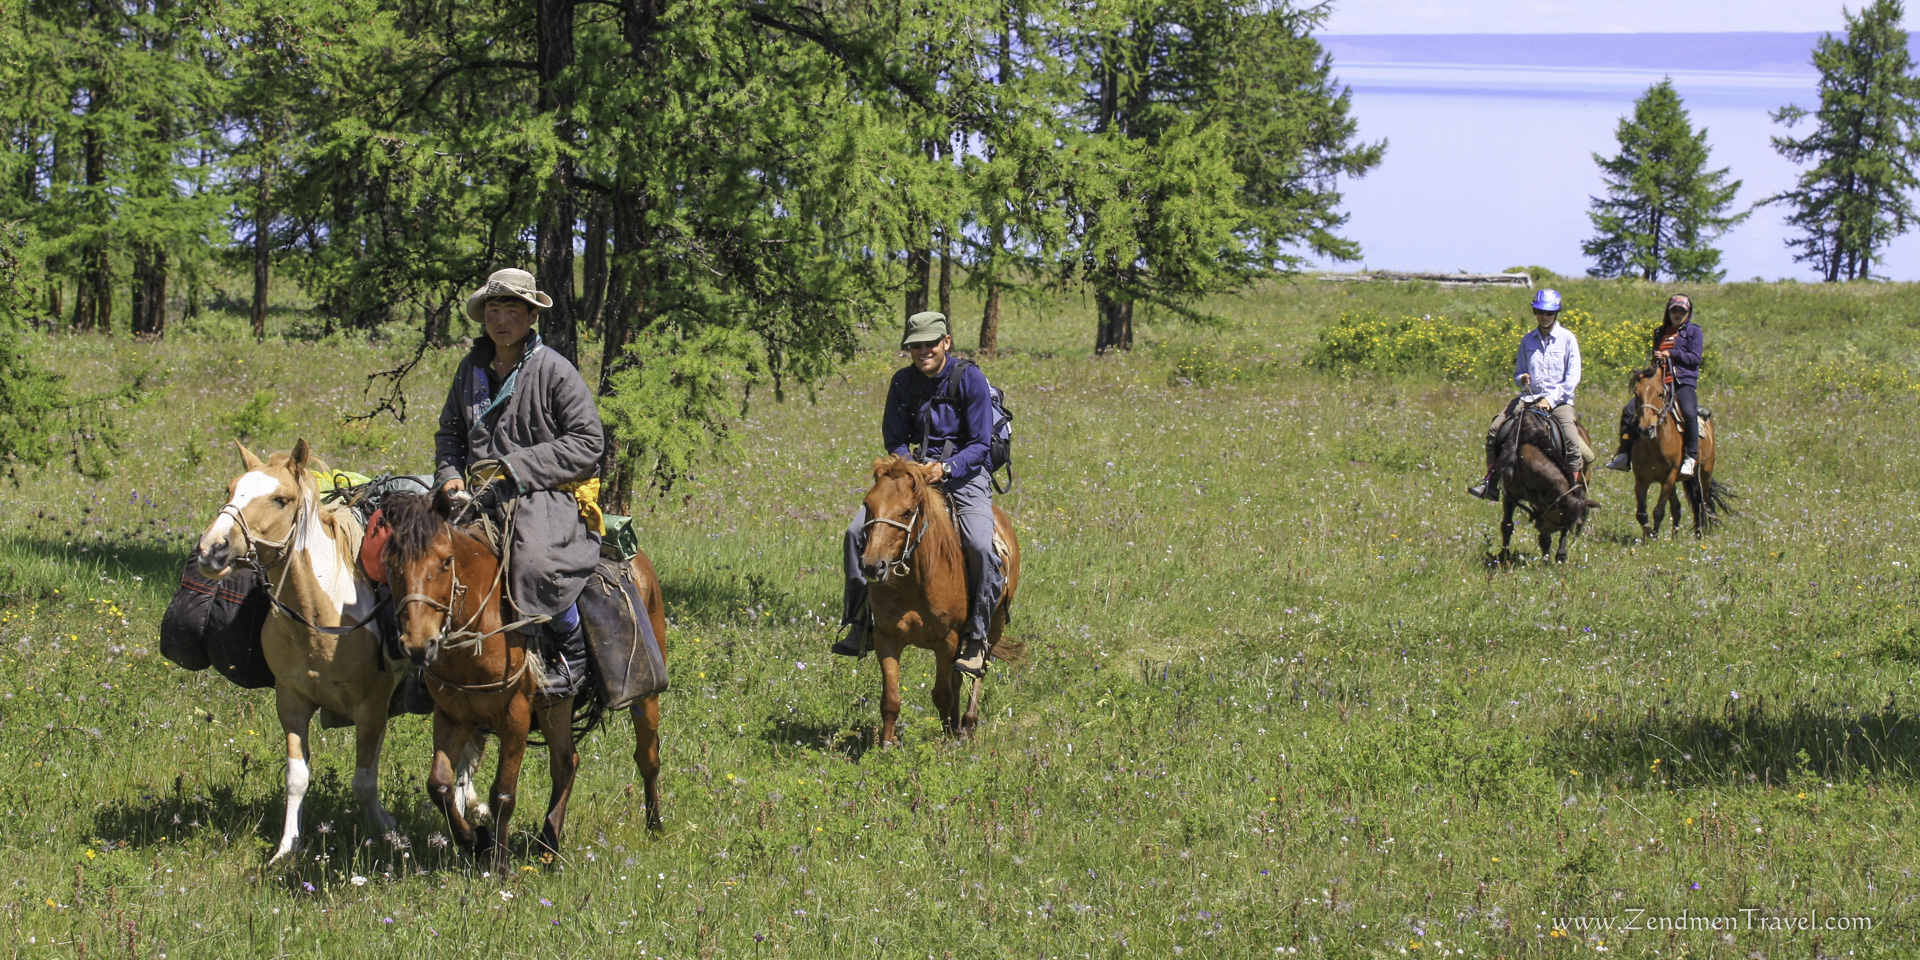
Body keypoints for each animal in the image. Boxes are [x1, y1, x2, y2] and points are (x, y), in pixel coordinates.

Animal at [192, 439, 407, 864]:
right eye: (230, 489)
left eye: (280, 499)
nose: (212, 549)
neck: (322, 617)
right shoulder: (291, 702)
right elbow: (296, 777)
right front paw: (287, 847)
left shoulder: (373, 708)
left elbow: (364, 780)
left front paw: (387, 832)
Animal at [378, 491, 672, 867]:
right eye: (391, 564)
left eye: (445, 562)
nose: (418, 644)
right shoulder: (452, 716)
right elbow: (440, 786)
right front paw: (475, 841)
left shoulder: (514, 717)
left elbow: (503, 793)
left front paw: (500, 864)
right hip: (554, 706)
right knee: (566, 762)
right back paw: (548, 845)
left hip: (645, 695)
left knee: (647, 757)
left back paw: (655, 826)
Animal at [864, 455, 1029, 741]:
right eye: (867, 505)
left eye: (906, 511)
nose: (874, 566)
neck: (915, 581)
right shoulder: (887, 638)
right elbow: (891, 700)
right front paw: (885, 746)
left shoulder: (946, 641)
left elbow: (942, 695)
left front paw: (946, 741)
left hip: (993, 626)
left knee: (977, 671)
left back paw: (968, 725)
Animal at [1489, 407, 1597, 560]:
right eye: (1560, 516)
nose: (1546, 528)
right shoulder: (1511, 495)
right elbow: (1507, 525)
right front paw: (1504, 557)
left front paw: (1547, 556)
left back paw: (1560, 556)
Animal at [1628, 360, 1735, 541]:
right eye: (1636, 393)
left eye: (1659, 394)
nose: (1645, 429)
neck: (1655, 446)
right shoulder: (1641, 478)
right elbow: (1641, 513)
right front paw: (1648, 536)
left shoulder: (1669, 477)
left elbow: (1659, 510)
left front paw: (1654, 538)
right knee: (1679, 507)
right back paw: (1675, 537)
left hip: (1704, 473)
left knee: (1702, 503)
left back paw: (1699, 534)